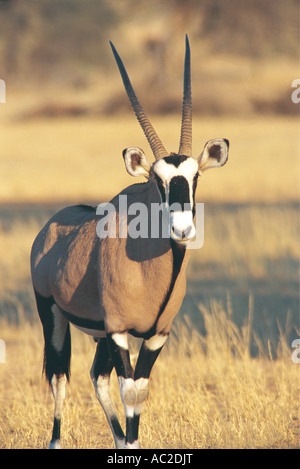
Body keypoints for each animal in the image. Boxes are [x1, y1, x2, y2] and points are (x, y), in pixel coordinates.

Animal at [30, 35, 229, 446]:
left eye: (195, 177)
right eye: (157, 180)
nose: (182, 230)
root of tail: (50, 228)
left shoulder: (156, 335)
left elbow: (138, 390)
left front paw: (130, 439)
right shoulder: (120, 331)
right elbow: (130, 391)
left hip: (99, 335)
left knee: (97, 377)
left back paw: (119, 438)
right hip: (52, 314)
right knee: (59, 377)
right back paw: (56, 439)